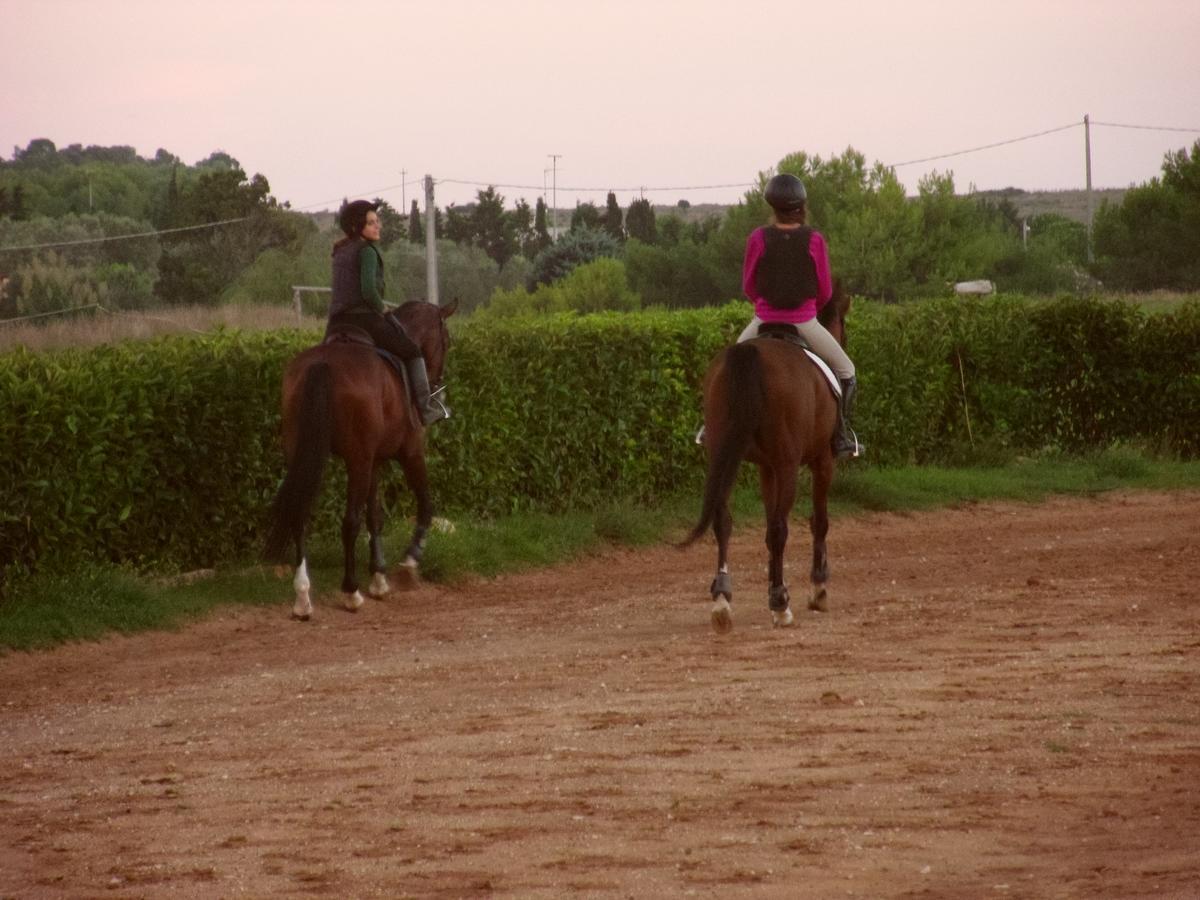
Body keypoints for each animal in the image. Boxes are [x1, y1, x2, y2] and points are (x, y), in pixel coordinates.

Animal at [265, 301, 456, 619]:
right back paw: (351, 592)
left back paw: (303, 596)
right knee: (349, 521)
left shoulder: (373, 462)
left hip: (308, 456)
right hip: (357, 460)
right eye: (447, 340)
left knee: (300, 515)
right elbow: (425, 504)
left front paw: (379, 578)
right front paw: (409, 563)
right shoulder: (410, 453)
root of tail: (324, 363)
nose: (437, 383)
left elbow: (374, 515)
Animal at [686, 289, 854, 633]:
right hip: (789, 464)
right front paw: (818, 588)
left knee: (723, 520)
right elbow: (818, 521)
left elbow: (766, 527)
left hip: (725, 455)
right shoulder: (821, 462)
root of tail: (751, 354)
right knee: (780, 527)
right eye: (843, 322)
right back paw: (780, 604)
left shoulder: (766, 468)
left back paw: (722, 600)